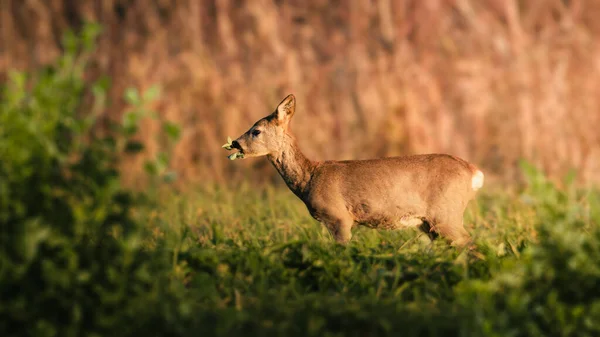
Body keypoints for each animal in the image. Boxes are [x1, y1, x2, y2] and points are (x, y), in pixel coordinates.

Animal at [224, 93, 482, 245]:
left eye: (256, 131)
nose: (234, 143)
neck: (309, 178)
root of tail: (473, 172)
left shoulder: (339, 217)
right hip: (430, 222)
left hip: (446, 213)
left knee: (468, 244)